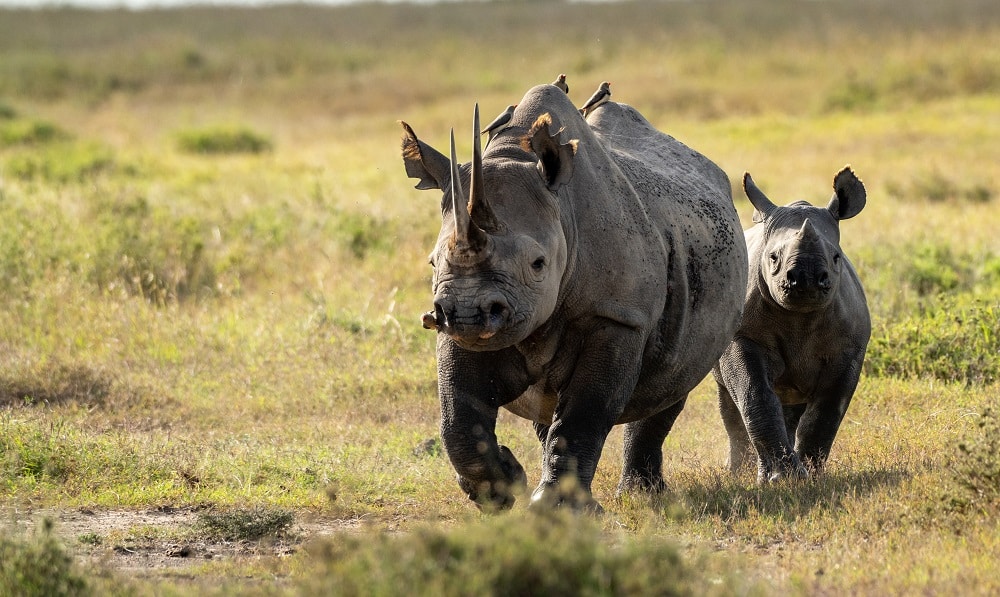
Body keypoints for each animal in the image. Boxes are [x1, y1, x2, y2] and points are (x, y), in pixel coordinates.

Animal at [402, 84, 748, 510]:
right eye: (433, 263)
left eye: (538, 264)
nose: (467, 313)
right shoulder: (453, 327)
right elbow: (458, 418)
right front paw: (504, 486)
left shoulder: (617, 316)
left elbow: (584, 414)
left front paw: (558, 508)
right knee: (547, 407)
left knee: (671, 382)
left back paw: (641, 492)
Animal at [716, 165, 872, 482]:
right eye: (773, 257)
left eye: (836, 257)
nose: (806, 280)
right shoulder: (742, 337)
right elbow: (755, 395)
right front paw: (781, 478)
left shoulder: (850, 348)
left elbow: (827, 411)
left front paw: (811, 475)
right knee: (732, 402)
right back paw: (737, 472)